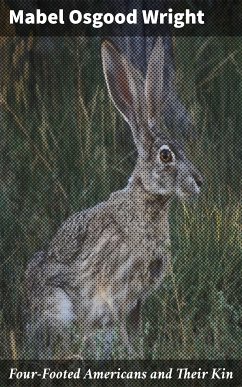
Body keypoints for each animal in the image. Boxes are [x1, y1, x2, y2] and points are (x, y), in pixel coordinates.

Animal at [25, 38, 204, 360]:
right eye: (166, 156)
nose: (198, 183)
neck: (146, 204)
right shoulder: (115, 292)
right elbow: (121, 329)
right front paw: (131, 358)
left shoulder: (137, 301)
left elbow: (134, 330)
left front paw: (139, 353)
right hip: (56, 306)